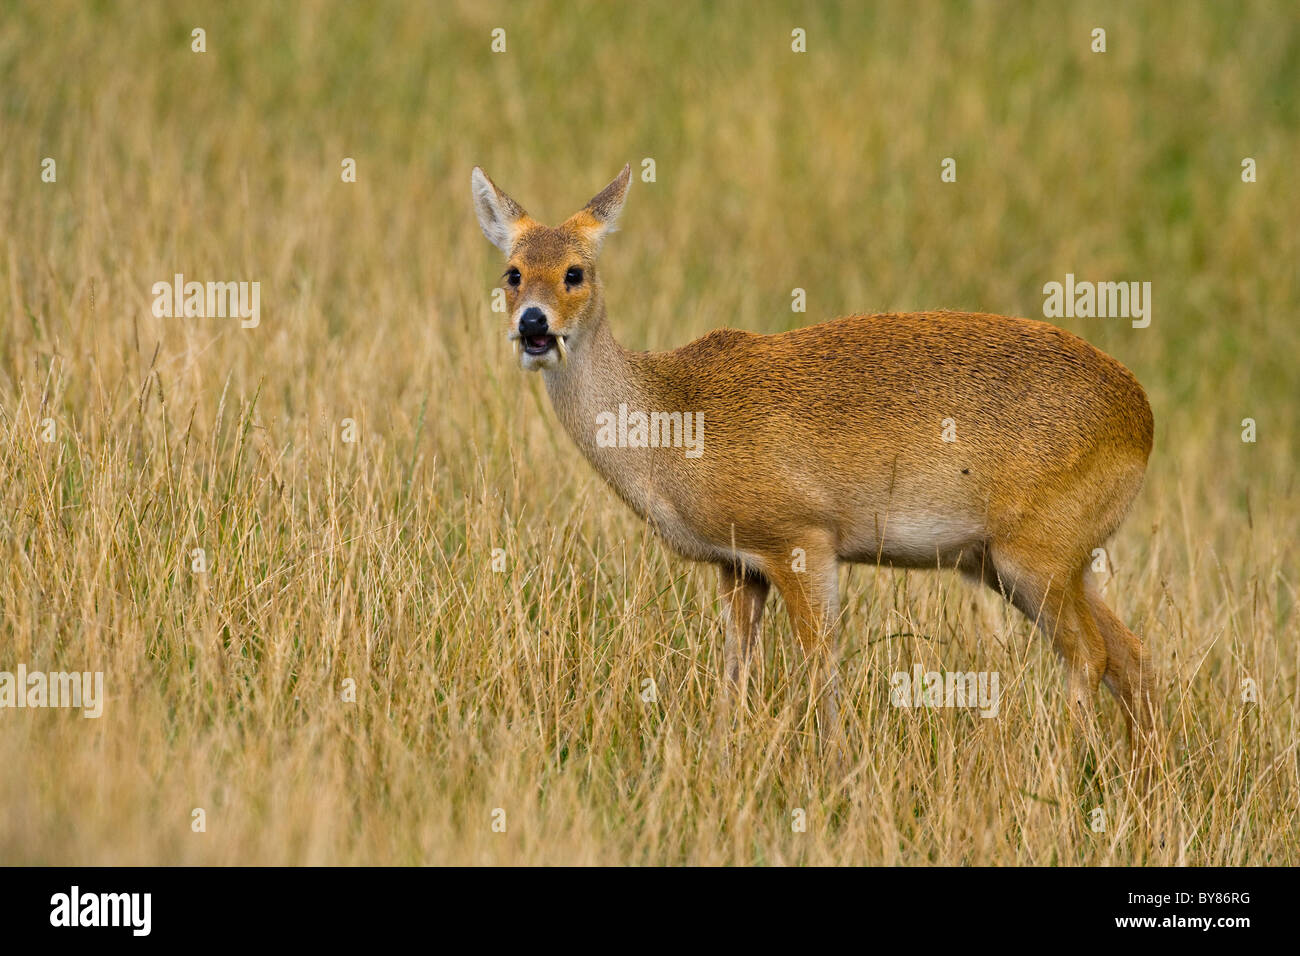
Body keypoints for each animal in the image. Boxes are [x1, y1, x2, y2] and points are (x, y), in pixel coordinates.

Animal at [475, 166, 1159, 764]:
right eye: (512, 272)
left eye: (575, 272)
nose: (533, 324)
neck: (669, 422)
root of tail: (1142, 419)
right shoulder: (737, 564)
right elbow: (735, 669)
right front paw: (720, 759)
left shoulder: (801, 538)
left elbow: (820, 664)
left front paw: (833, 769)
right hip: (1025, 562)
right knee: (1131, 654)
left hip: (1036, 554)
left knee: (1092, 655)